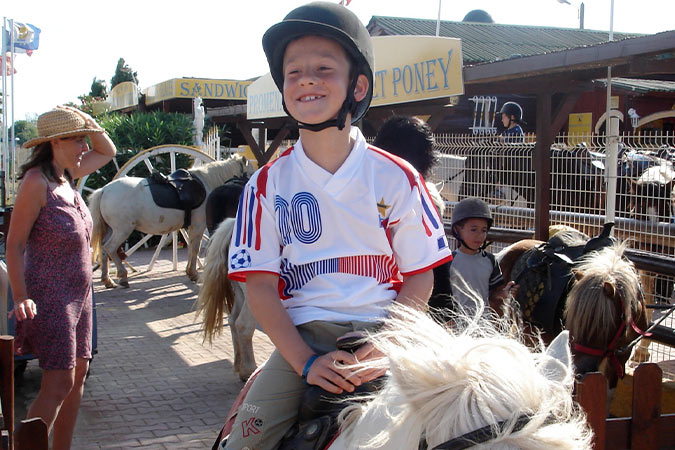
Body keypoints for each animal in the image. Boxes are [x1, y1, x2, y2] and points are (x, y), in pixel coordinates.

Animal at [88, 155, 255, 288]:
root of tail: (104, 190)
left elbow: (191, 249)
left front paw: (190, 272)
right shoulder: (198, 226)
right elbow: (194, 249)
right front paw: (193, 273)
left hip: (111, 229)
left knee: (103, 248)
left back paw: (107, 280)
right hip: (122, 230)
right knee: (110, 248)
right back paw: (122, 276)